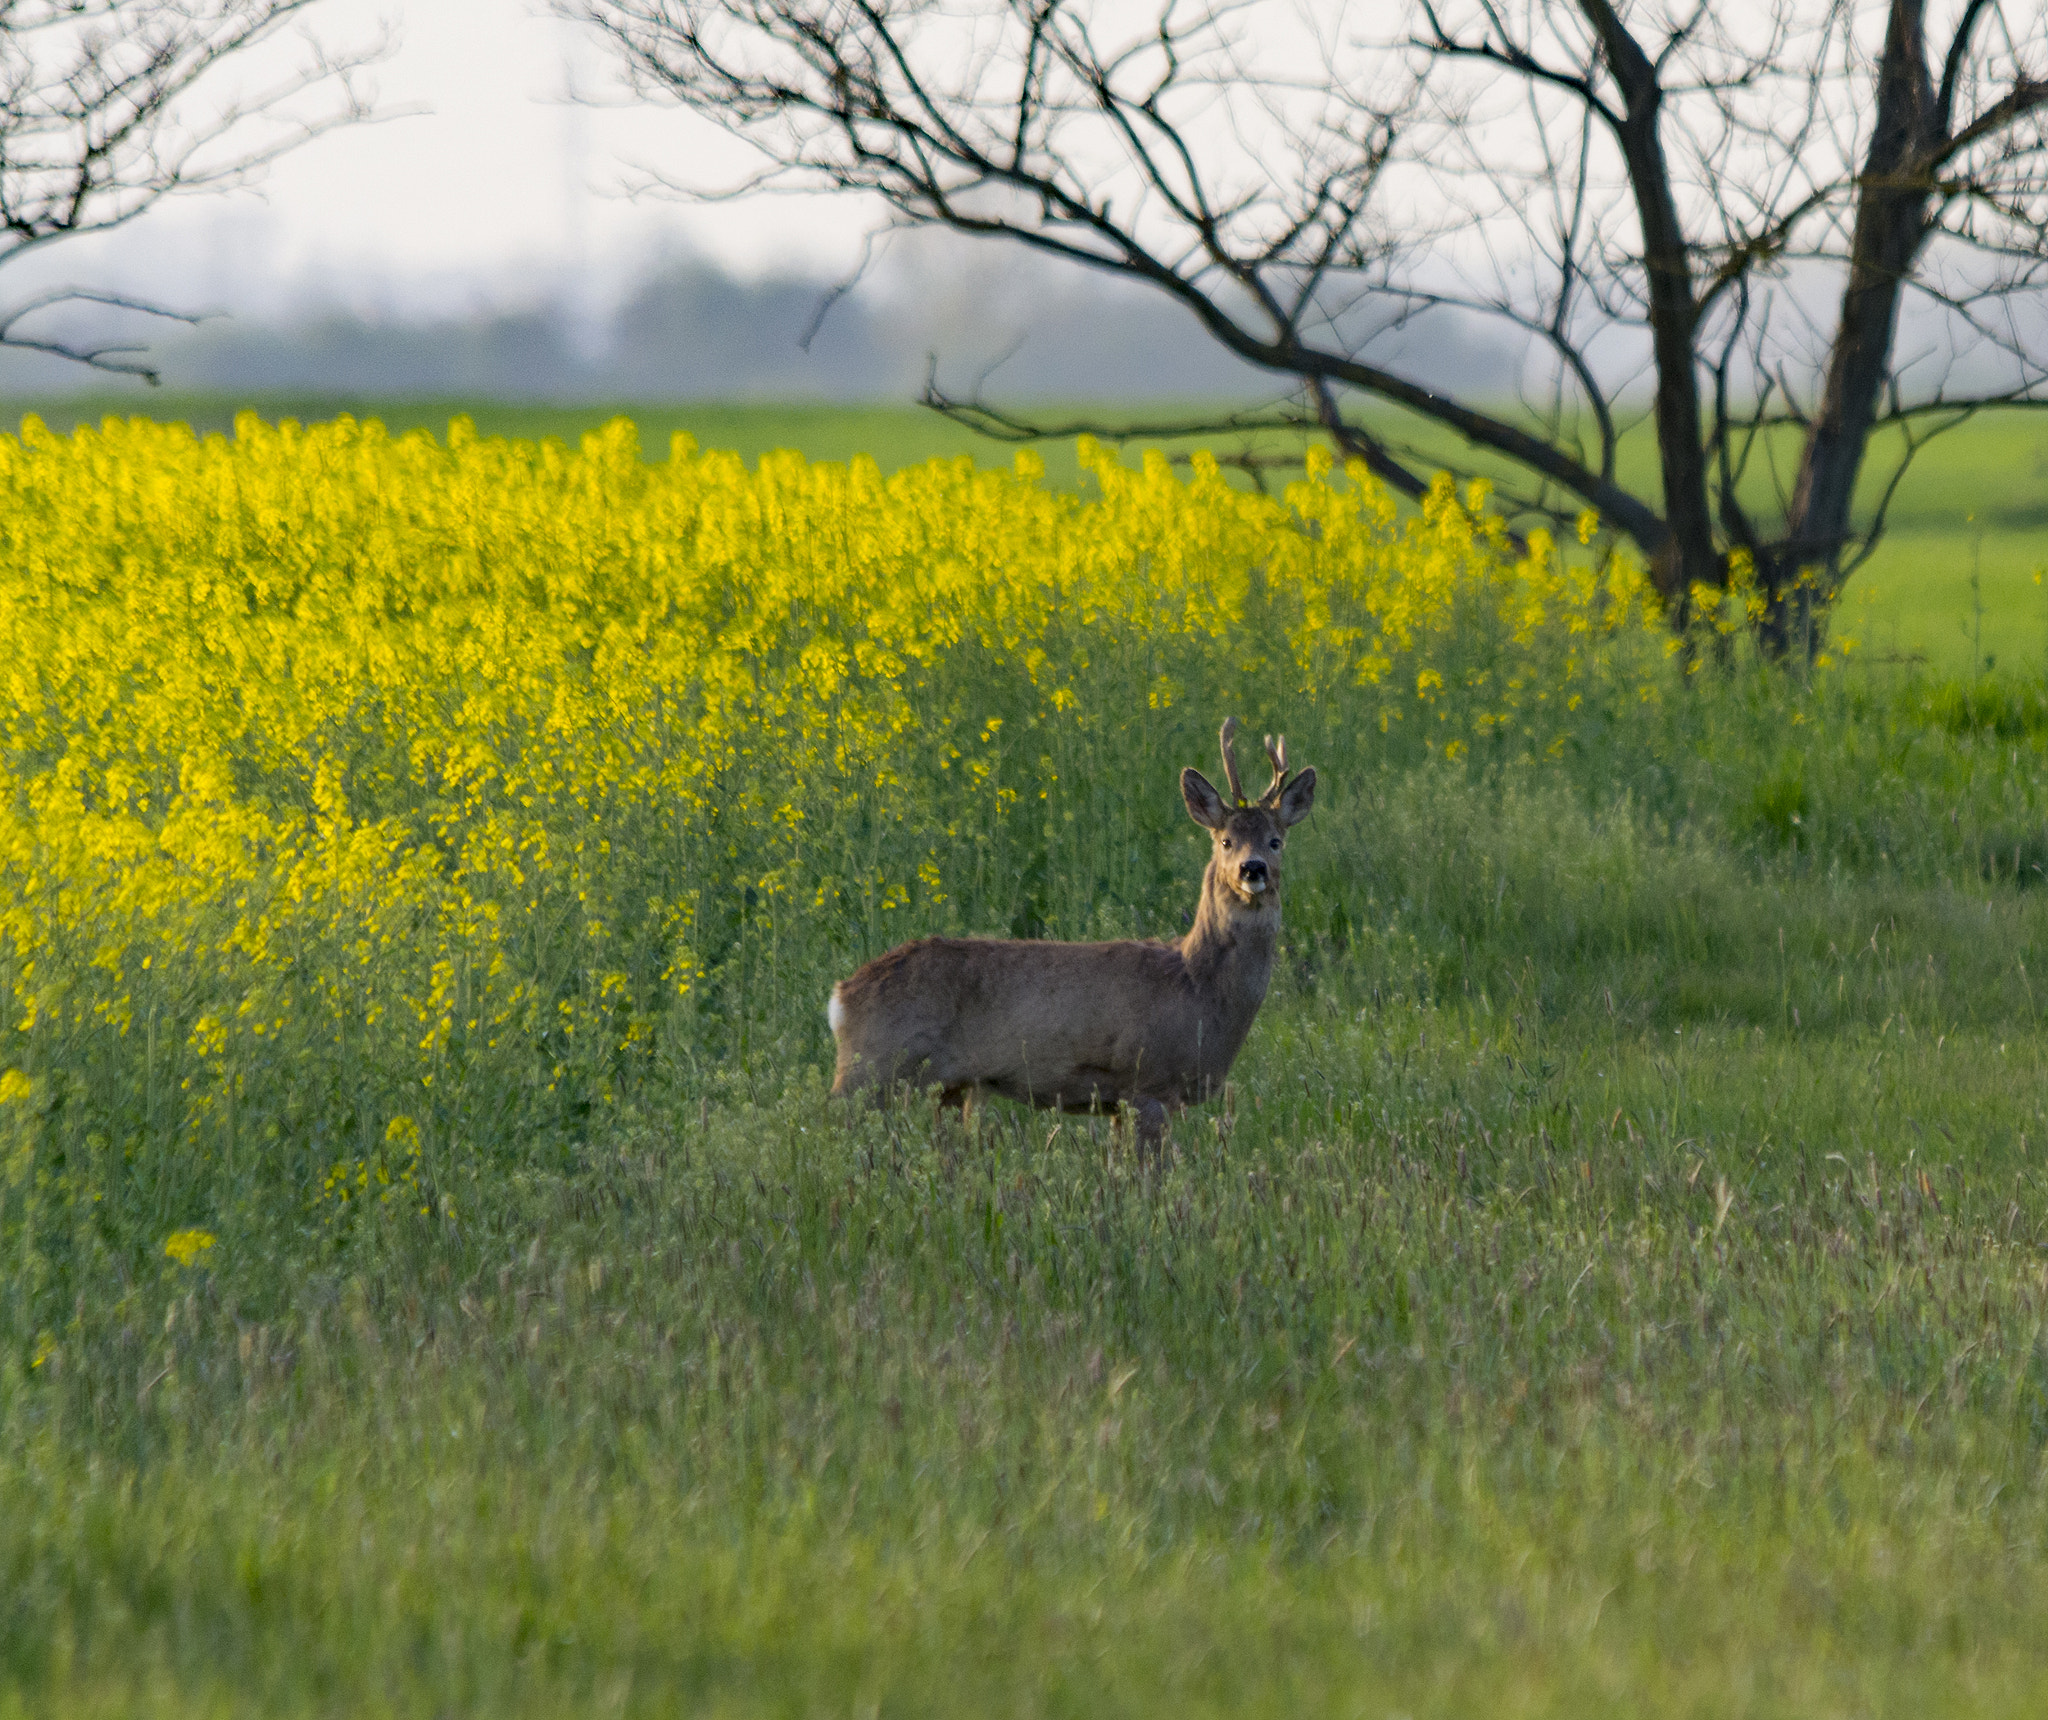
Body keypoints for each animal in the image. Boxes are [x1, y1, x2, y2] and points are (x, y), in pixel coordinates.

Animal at [827, 717, 1317, 1152]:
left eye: (1276, 841)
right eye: (1226, 841)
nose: (1252, 870)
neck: (1195, 986)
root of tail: (841, 995)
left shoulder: (1124, 1101)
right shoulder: (1146, 1081)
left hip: (938, 1086)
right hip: (872, 1070)